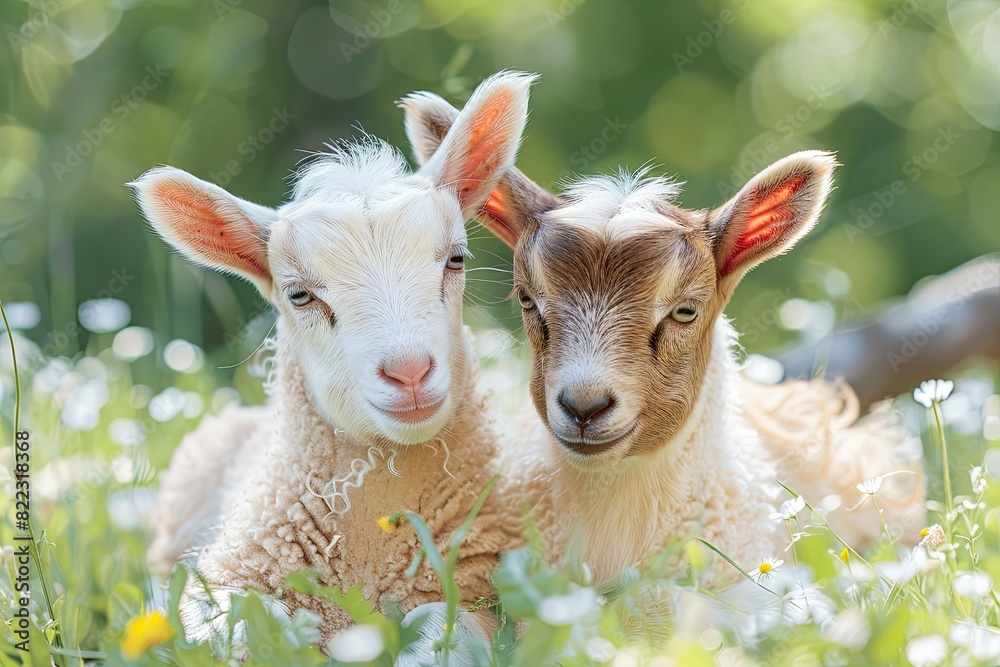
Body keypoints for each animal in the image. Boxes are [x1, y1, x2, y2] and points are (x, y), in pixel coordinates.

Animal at [131, 71, 536, 646]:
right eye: (299, 295)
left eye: (457, 259)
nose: (409, 372)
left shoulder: (476, 591)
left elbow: (442, 634)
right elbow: (240, 628)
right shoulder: (221, 583)